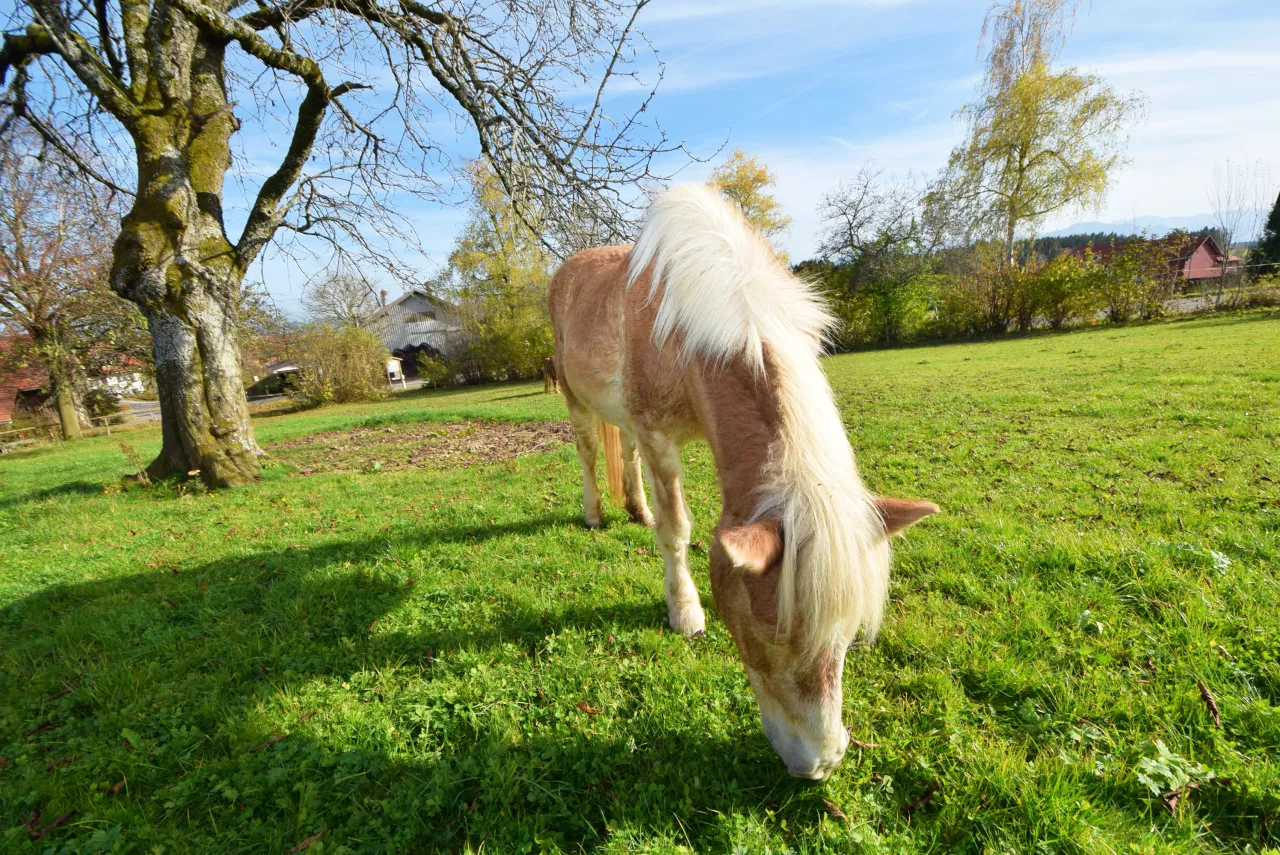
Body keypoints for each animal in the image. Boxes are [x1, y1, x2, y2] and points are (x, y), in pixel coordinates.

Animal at [545, 186, 936, 783]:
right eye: (772, 634)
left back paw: (635, 508)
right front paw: (686, 612)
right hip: (574, 395)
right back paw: (595, 512)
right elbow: (676, 529)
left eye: (847, 635)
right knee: (590, 450)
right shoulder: (659, 436)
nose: (819, 763)